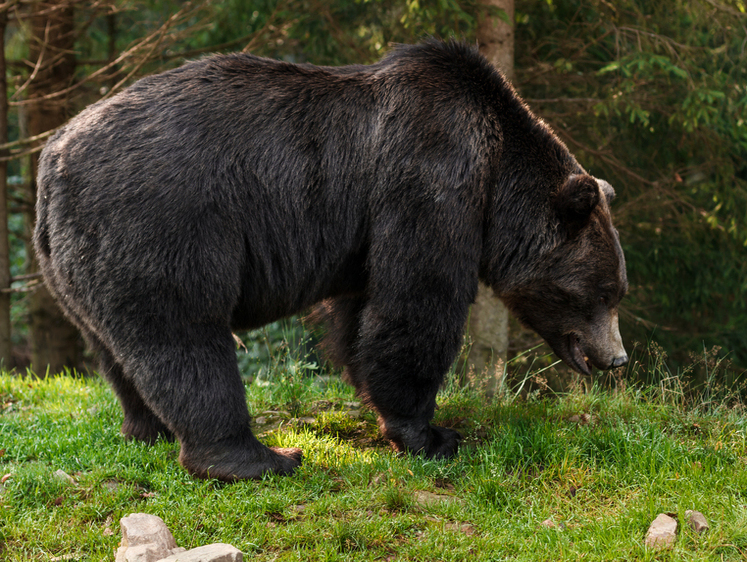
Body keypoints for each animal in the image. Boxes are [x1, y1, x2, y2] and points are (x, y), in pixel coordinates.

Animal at [32, 39, 628, 480]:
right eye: (603, 292)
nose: (617, 358)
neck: (497, 178)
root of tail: (52, 159)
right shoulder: (431, 179)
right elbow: (417, 305)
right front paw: (433, 434)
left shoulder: (367, 233)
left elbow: (362, 316)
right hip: (163, 222)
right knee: (186, 337)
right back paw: (259, 457)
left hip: (75, 260)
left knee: (115, 349)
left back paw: (146, 430)